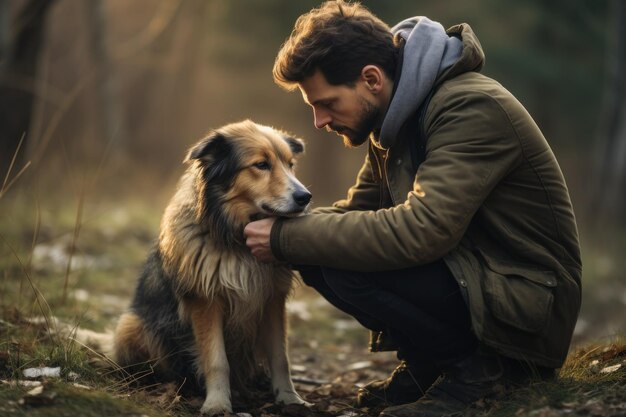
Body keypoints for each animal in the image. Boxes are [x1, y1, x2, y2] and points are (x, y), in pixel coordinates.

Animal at [112, 119, 312, 412]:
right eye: (261, 165)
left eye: (290, 164)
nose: (305, 197)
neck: (236, 239)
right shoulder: (206, 301)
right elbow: (217, 360)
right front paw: (217, 403)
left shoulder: (272, 299)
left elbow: (280, 357)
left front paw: (289, 398)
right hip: (131, 326)